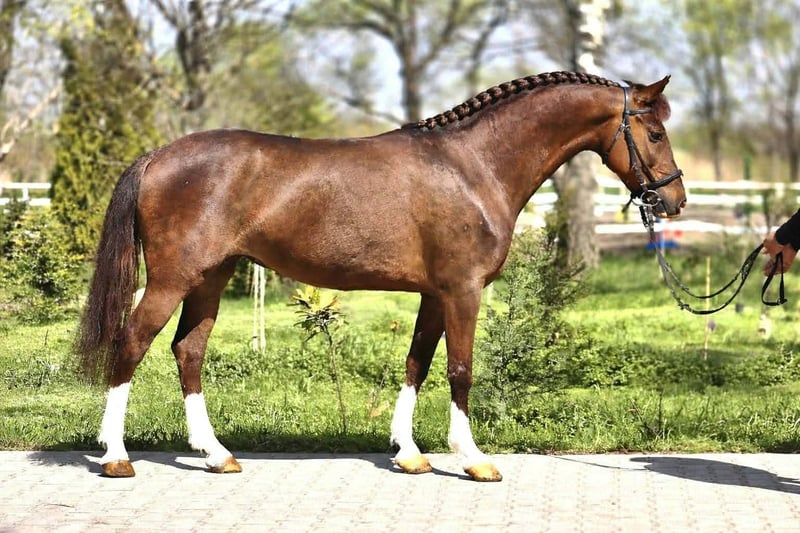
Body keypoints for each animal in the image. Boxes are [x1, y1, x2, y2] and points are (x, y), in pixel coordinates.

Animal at [77, 71, 686, 481]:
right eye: (655, 133)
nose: (674, 199)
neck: (472, 166)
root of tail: (157, 156)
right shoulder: (462, 292)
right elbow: (461, 370)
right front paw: (474, 459)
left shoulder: (434, 295)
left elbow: (418, 362)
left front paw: (410, 453)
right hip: (174, 280)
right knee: (132, 343)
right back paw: (116, 457)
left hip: (210, 278)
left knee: (188, 351)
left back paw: (217, 455)